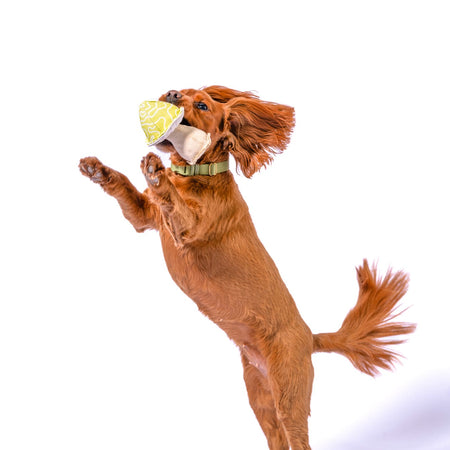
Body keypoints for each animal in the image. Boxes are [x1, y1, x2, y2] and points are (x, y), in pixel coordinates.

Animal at [79, 86, 416, 448]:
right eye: (182, 90)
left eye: (202, 105)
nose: (171, 93)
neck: (197, 176)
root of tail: (310, 338)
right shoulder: (144, 217)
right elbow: (124, 186)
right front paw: (98, 169)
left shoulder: (187, 229)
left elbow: (172, 200)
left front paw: (156, 173)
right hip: (260, 396)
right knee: (276, 437)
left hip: (289, 395)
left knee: (298, 438)